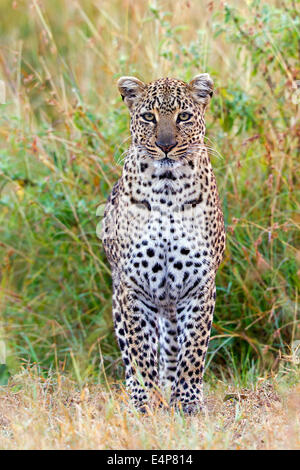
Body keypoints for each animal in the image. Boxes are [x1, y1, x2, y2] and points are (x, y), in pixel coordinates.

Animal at [101, 74, 225, 414]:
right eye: (148, 117)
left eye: (183, 116)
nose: (166, 146)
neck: (168, 189)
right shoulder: (133, 287)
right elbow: (141, 351)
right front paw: (147, 403)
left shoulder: (200, 284)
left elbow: (193, 349)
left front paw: (187, 402)